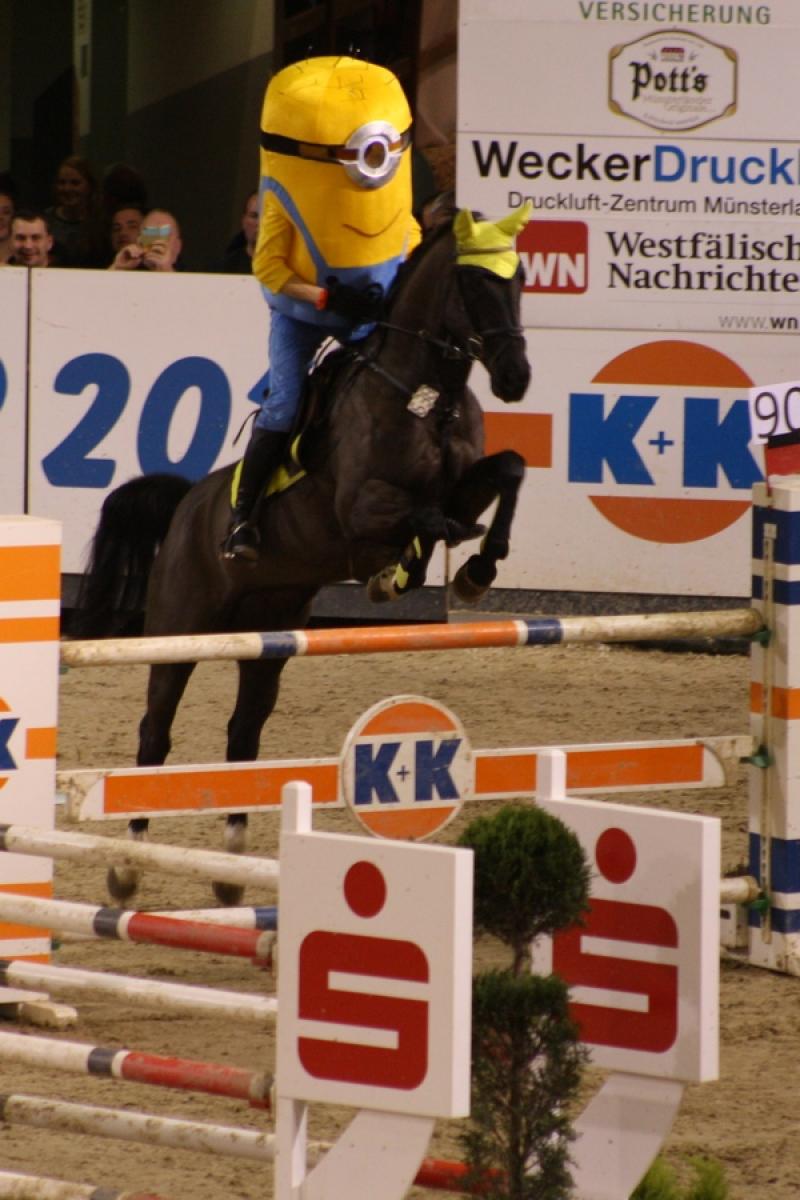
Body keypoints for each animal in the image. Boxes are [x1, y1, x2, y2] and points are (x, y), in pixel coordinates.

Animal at [76, 206, 532, 902]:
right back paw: (127, 867)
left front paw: (476, 570)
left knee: (243, 733)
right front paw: (404, 573)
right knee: (155, 732)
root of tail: (186, 506)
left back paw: (231, 870)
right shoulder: (360, 510)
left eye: (521, 279)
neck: (425, 395)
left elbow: (506, 470)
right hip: (180, 632)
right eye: (477, 282)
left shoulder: (466, 483)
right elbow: (428, 517)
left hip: (269, 639)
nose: (516, 377)